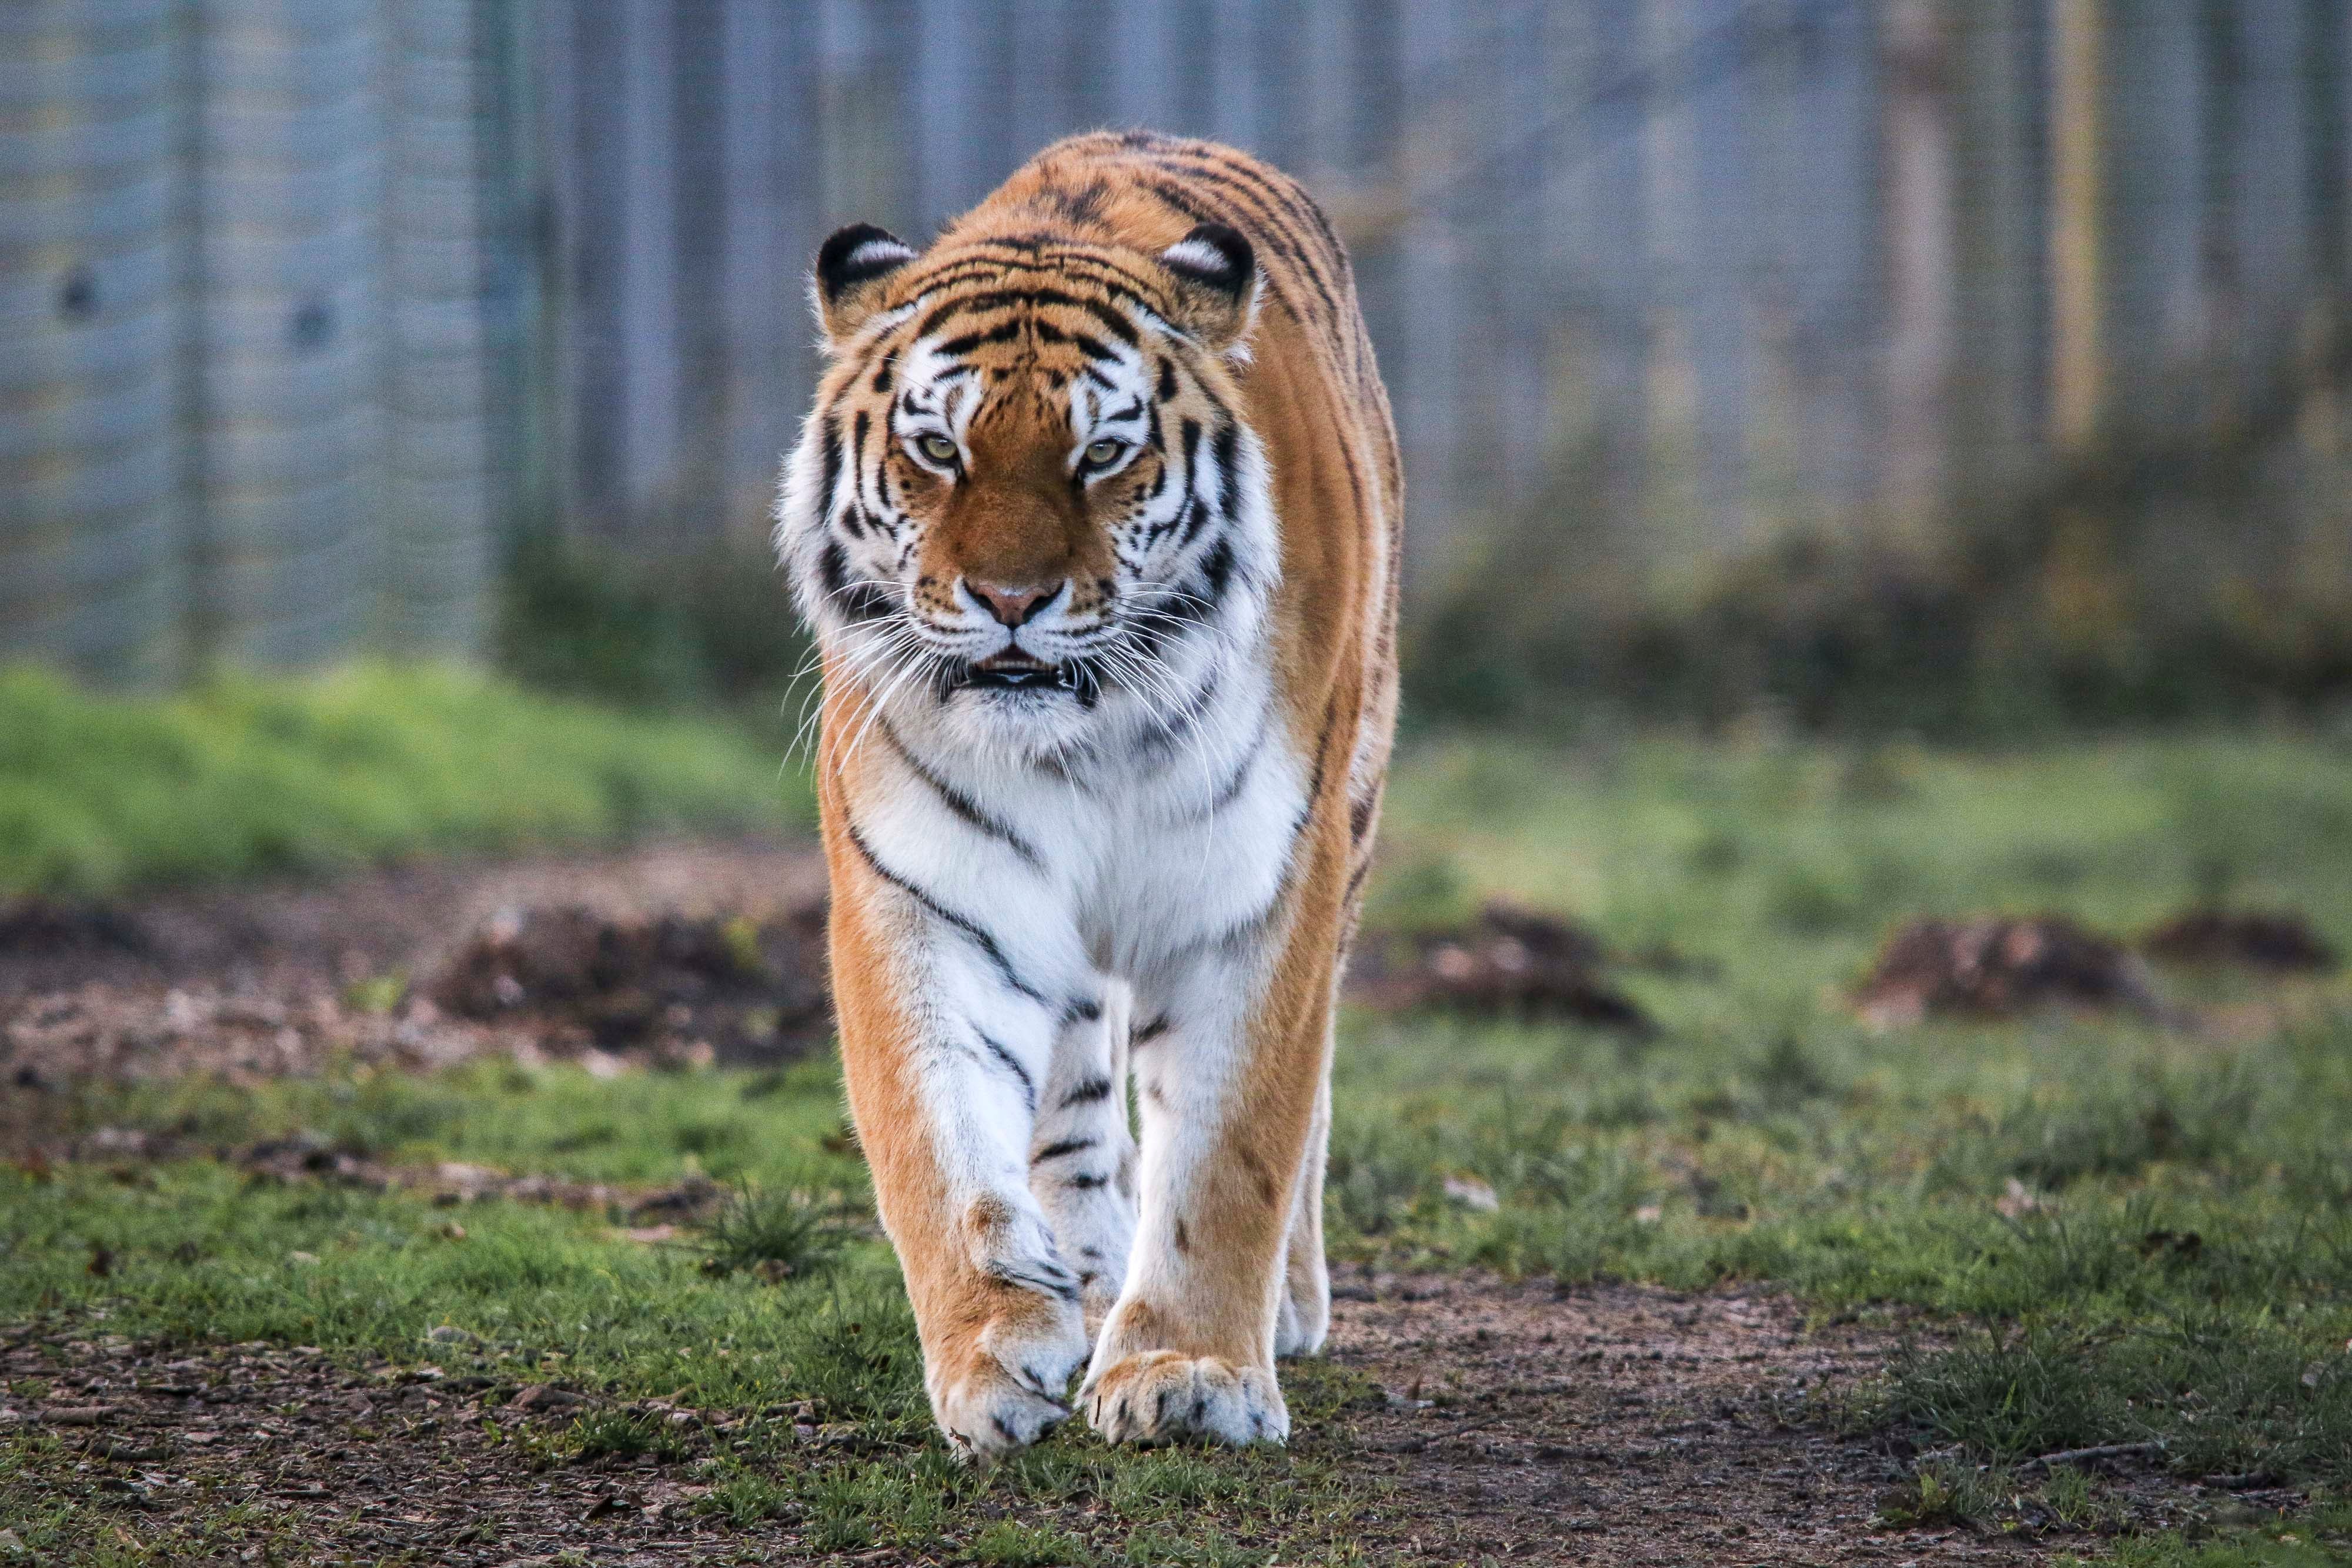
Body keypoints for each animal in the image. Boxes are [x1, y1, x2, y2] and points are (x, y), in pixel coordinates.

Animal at [775, 129, 1400, 1461]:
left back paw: (1286, 1307)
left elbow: (1233, 1148)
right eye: (938, 450)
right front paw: (992, 1352)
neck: (1088, 736)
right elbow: (938, 1146)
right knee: (1066, 1101)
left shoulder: (1259, 889)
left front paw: (1191, 1373)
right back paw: (1087, 1275)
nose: (1011, 600)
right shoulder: (926, 894)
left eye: (1102, 453)